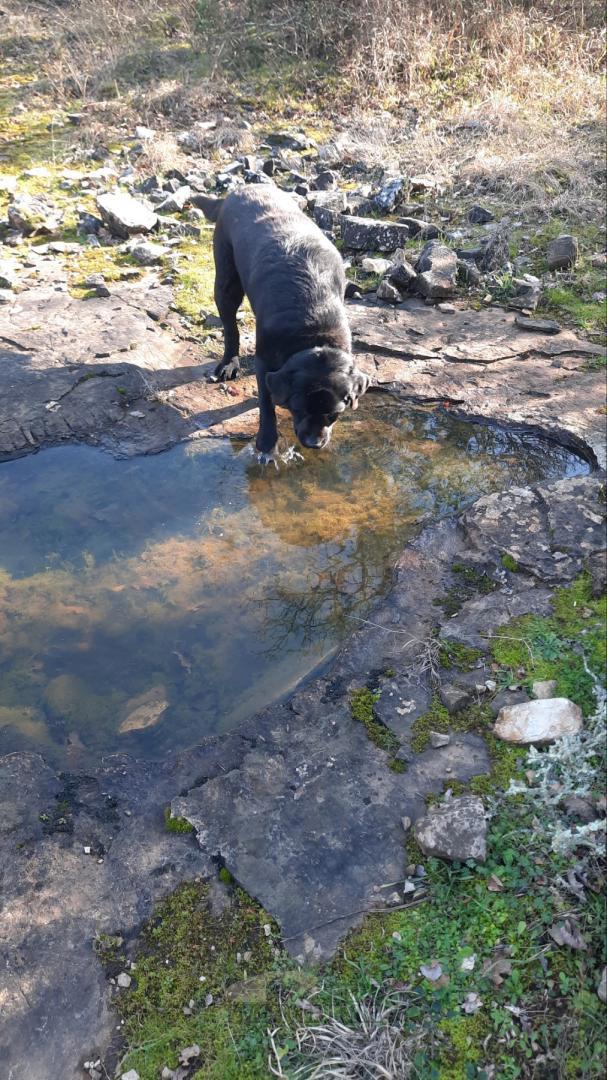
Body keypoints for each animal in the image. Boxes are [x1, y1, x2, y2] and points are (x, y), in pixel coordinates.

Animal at [191, 185, 367, 455]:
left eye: (334, 414)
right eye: (298, 409)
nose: (313, 443)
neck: (313, 332)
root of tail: (237, 191)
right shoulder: (264, 360)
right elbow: (266, 403)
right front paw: (267, 443)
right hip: (226, 279)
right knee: (231, 328)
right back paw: (229, 363)